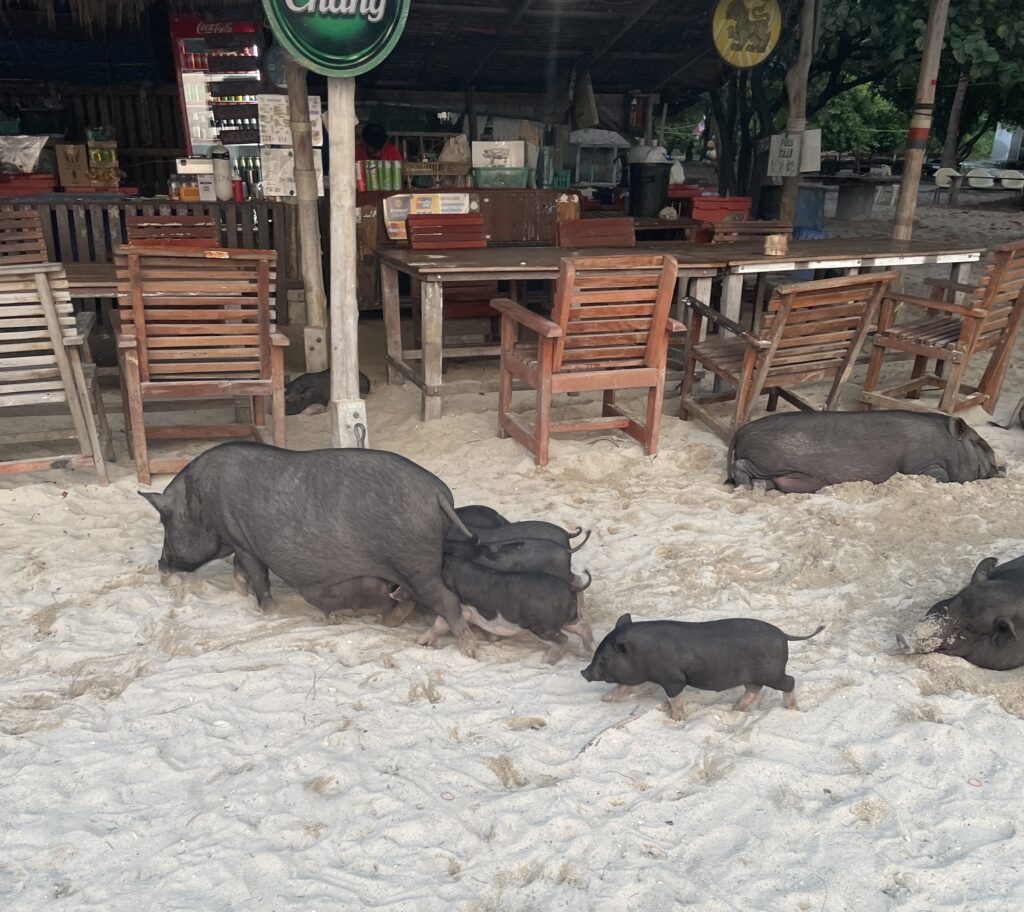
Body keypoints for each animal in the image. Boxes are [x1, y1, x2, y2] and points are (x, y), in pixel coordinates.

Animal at [141, 442, 479, 655]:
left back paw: (468, 649)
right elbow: (240, 567)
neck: (202, 500)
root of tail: (439, 494)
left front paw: (266, 611)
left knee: (448, 601)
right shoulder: (242, 541)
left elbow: (258, 577)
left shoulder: (244, 540)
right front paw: (240, 592)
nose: (160, 564)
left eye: (166, 521)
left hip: (416, 564)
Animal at [585, 618, 823, 724]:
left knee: (790, 681)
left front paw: (677, 719)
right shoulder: (636, 675)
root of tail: (783, 634)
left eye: (604, 658)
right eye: (597, 652)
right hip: (755, 676)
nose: (584, 673)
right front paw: (605, 700)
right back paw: (735, 709)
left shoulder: (673, 679)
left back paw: (793, 710)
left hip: (772, 672)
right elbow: (623, 686)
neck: (642, 653)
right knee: (754, 688)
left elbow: (675, 698)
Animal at [729, 411, 999, 495]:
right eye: (981, 444)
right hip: (768, 461)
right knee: (740, 465)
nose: (1002, 467)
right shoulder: (923, 465)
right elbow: (937, 476)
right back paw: (746, 489)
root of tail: (741, 431)